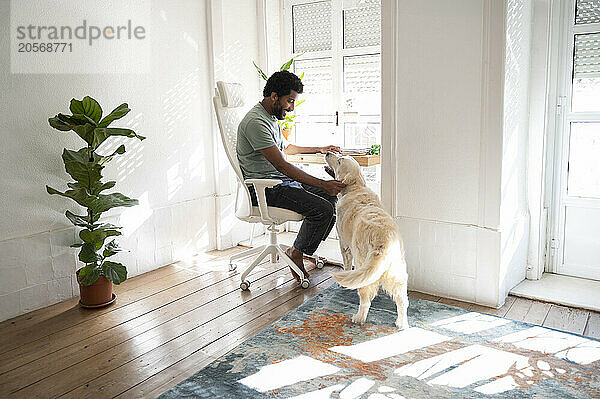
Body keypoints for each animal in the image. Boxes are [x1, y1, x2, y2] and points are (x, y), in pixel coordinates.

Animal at [326, 152, 410, 330]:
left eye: (339, 160)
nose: (328, 152)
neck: (356, 187)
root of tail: (384, 240)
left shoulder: (344, 245)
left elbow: (346, 264)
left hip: (362, 264)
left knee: (365, 300)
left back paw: (358, 318)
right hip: (398, 274)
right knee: (402, 301)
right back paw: (402, 324)